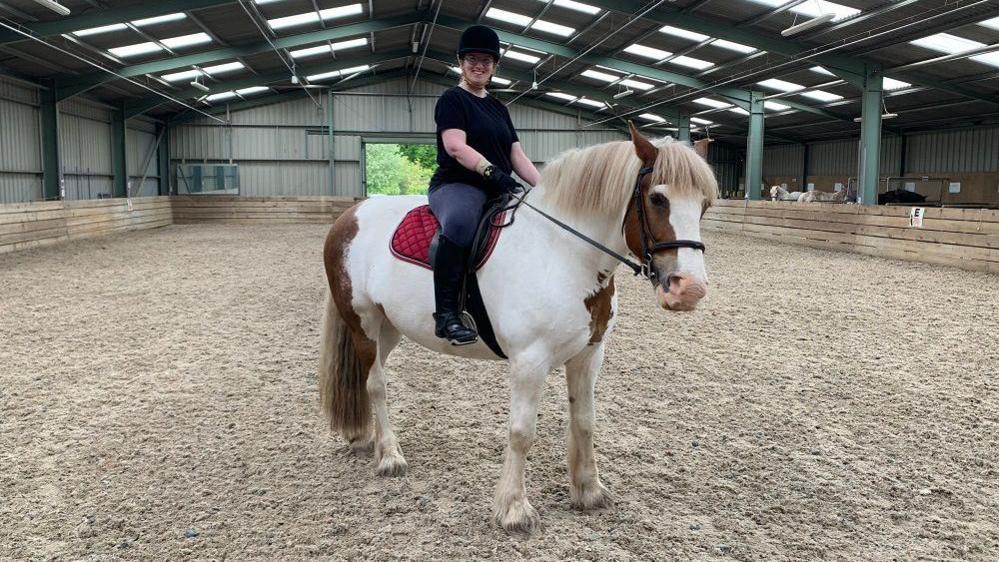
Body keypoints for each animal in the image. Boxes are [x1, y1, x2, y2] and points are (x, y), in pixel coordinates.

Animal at [320, 121, 720, 532]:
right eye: (657, 199)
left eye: (705, 204)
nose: (689, 289)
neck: (561, 252)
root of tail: (351, 215)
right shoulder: (530, 361)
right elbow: (521, 432)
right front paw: (513, 508)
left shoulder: (589, 356)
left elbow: (585, 421)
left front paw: (589, 491)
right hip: (364, 323)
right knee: (376, 384)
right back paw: (389, 455)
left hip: (388, 329)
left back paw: (367, 440)